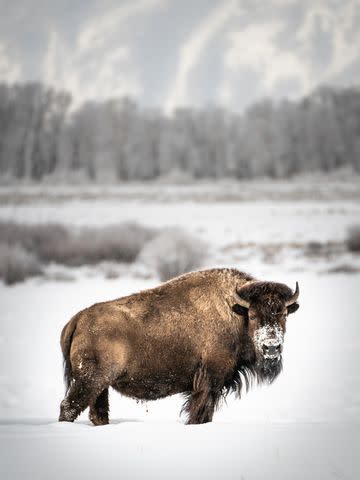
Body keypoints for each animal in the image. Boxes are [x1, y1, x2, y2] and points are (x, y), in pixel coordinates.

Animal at [59, 268, 300, 426]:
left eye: (283, 314)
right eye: (253, 315)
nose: (271, 347)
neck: (235, 312)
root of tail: (78, 319)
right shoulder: (209, 380)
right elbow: (200, 412)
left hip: (101, 386)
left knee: (97, 412)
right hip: (89, 381)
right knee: (69, 407)